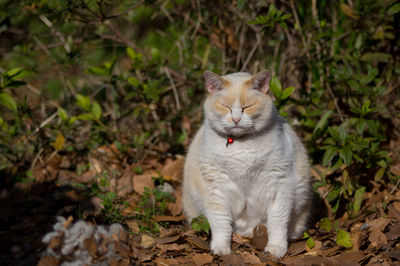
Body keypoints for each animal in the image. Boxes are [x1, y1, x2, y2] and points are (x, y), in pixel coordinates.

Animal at [182, 70, 312, 258]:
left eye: (247, 107)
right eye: (226, 106)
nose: (236, 119)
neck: (240, 144)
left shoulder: (278, 185)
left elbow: (278, 221)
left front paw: (276, 249)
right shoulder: (215, 188)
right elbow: (220, 222)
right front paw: (221, 249)